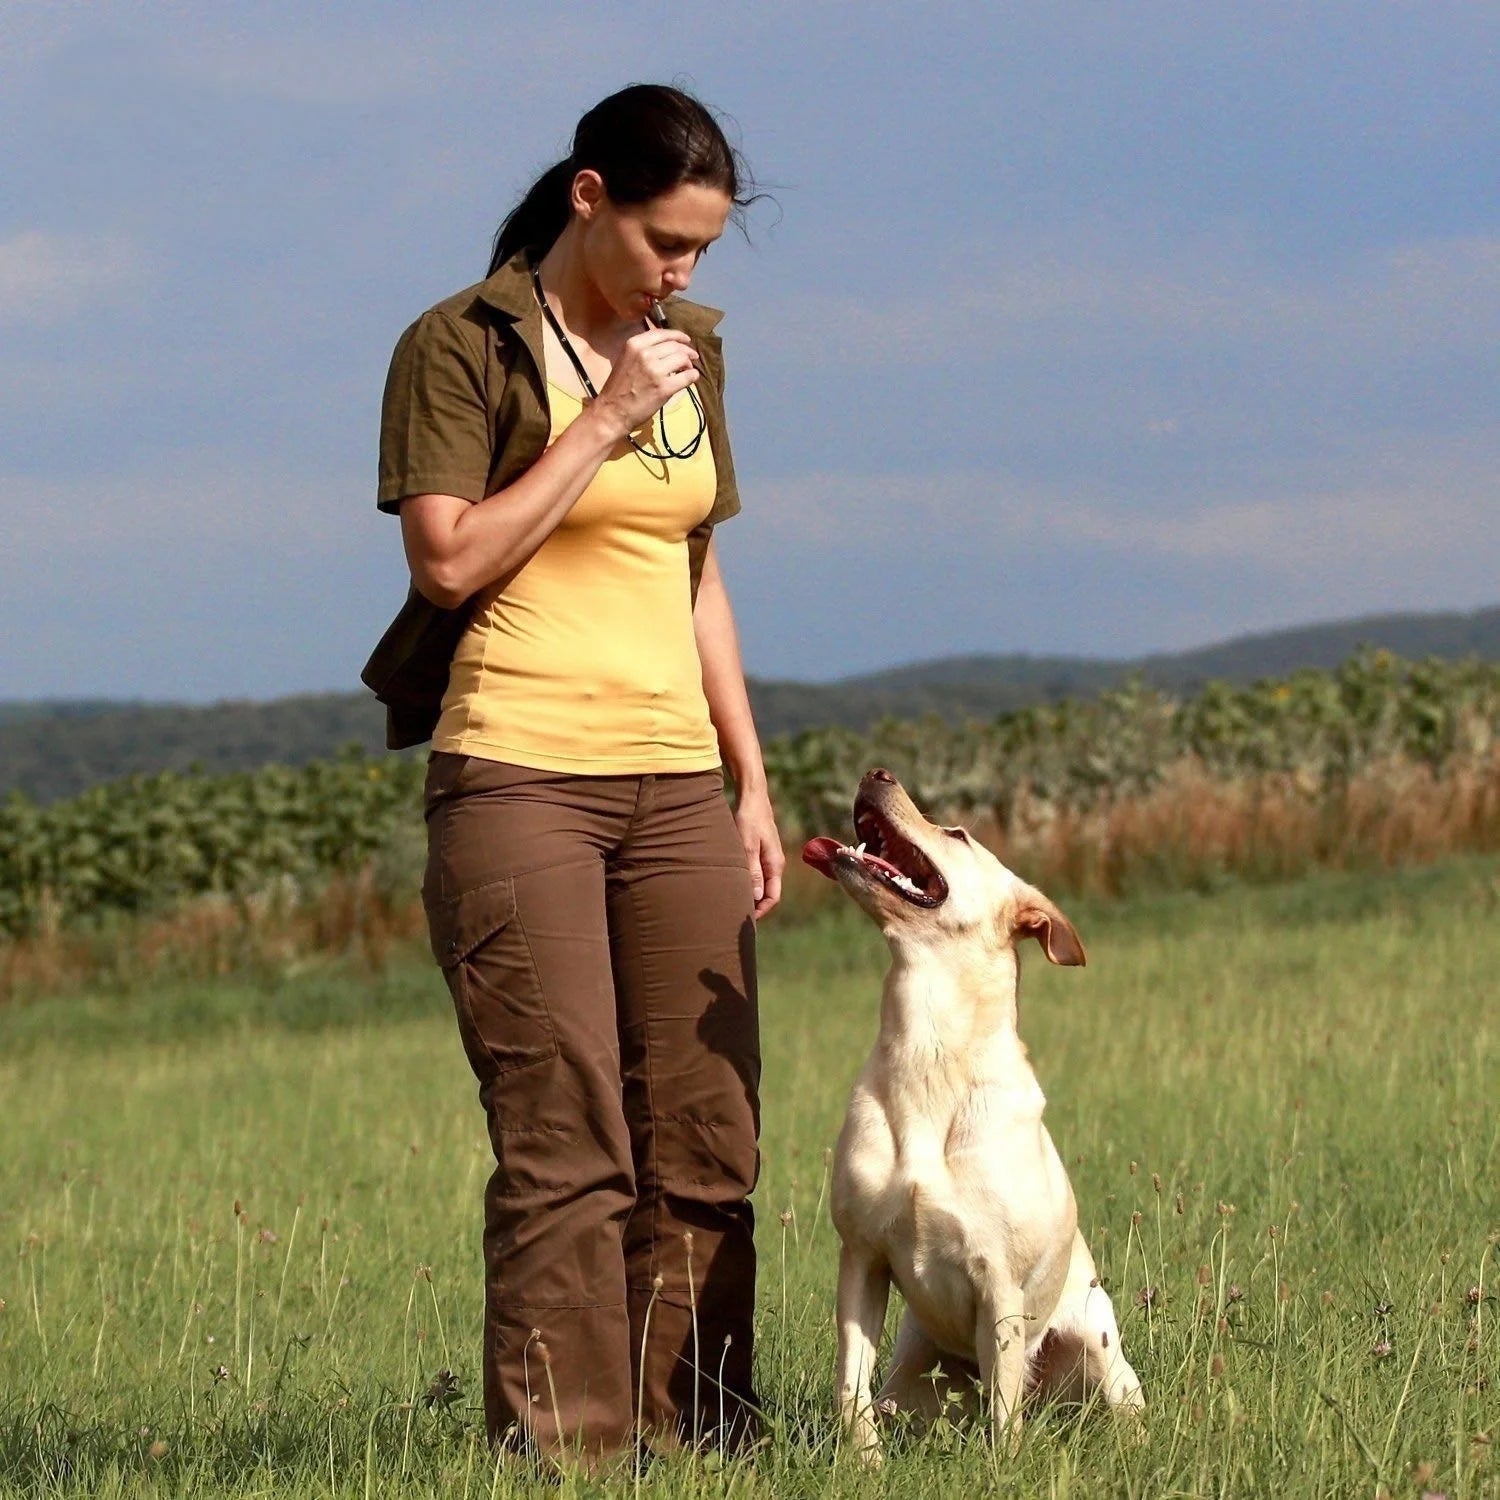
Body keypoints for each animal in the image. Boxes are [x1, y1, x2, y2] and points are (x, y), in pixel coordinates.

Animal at [804, 768, 1140, 1458]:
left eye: (957, 833)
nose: (876, 773)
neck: (929, 1047)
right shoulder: (861, 1258)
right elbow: (851, 1383)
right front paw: (863, 1464)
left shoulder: (1000, 1284)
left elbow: (1004, 1413)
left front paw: (1001, 1465)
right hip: (913, 1371)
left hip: (1097, 1343)